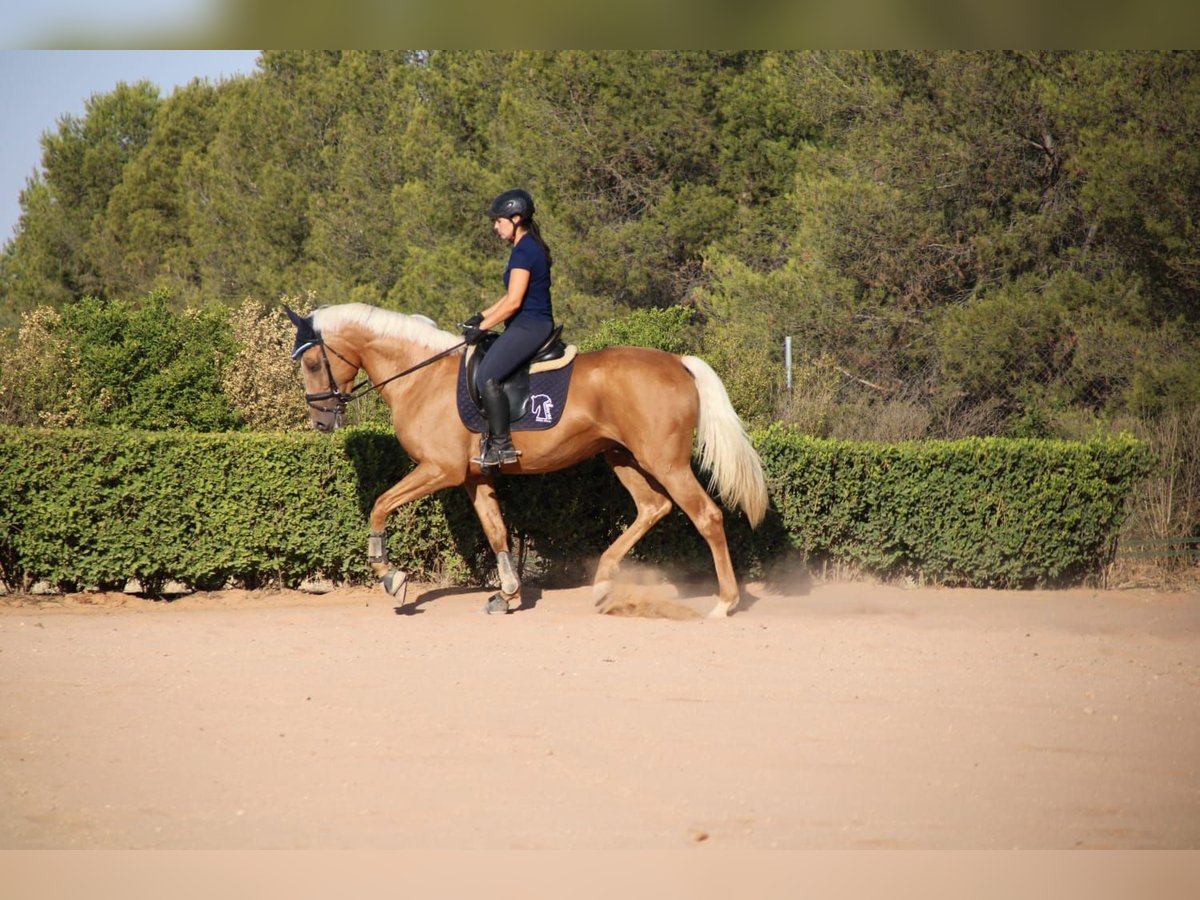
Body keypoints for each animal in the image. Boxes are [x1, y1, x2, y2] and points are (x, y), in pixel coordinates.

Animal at [285, 307, 763, 619]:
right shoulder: (473, 477)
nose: (320, 420)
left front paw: (391, 577)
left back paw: (724, 602)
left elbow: (380, 505)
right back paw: (604, 581)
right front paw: (509, 593)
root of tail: (679, 363)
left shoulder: (440, 470)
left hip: (664, 462)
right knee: (653, 507)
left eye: (311, 362)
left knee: (706, 516)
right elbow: (496, 531)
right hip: (623, 456)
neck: (422, 376)